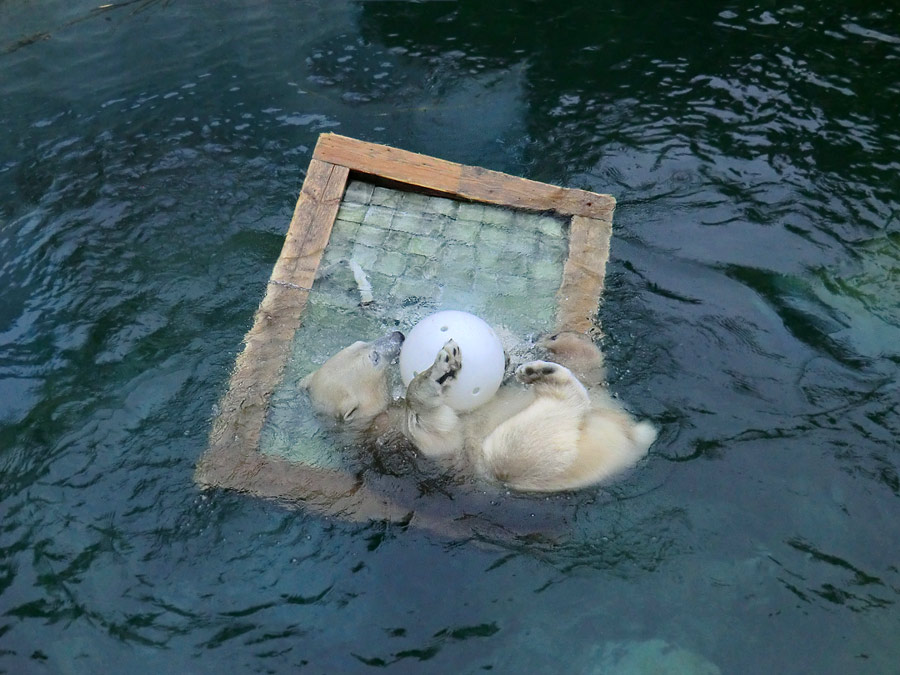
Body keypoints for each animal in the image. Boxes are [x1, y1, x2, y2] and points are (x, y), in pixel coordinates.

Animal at [298, 332, 656, 494]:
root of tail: (631, 436)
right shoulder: (400, 445)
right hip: (525, 465)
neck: (369, 425)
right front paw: (438, 369)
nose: (397, 335)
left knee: (589, 366)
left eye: (361, 345)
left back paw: (556, 343)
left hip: (600, 394)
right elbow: (439, 435)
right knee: (514, 450)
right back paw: (544, 375)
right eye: (373, 358)